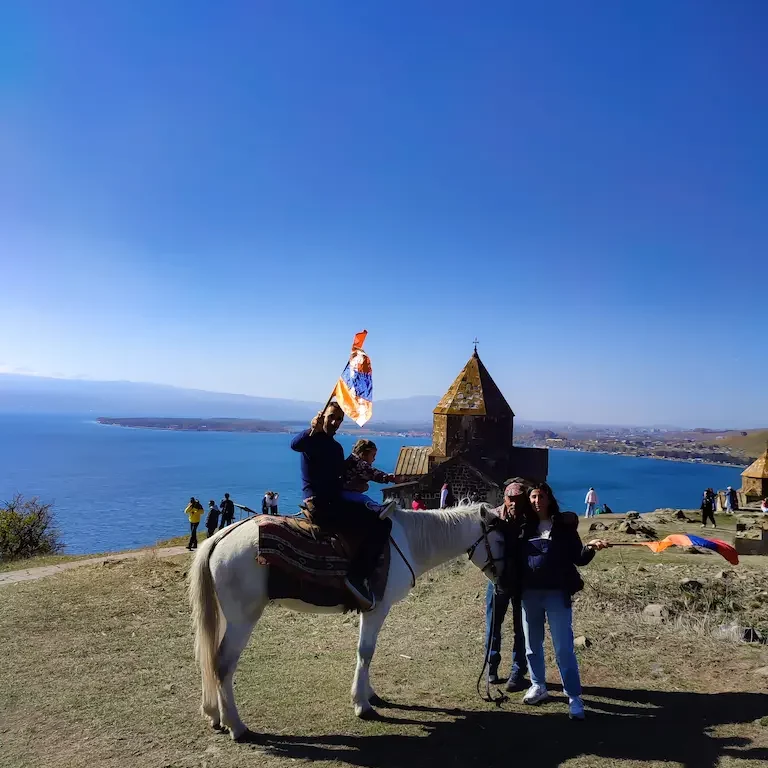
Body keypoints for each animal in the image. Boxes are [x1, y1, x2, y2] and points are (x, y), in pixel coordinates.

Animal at [190, 504, 508, 736]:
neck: (409, 542)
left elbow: (366, 652)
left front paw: (370, 694)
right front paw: (362, 705)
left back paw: (216, 716)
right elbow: (366, 652)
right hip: (242, 619)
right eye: (501, 539)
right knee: (222, 665)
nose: (505, 582)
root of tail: (221, 537)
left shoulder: (372, 611)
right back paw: (237, 726)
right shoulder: (377, 609)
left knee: (213, 660)